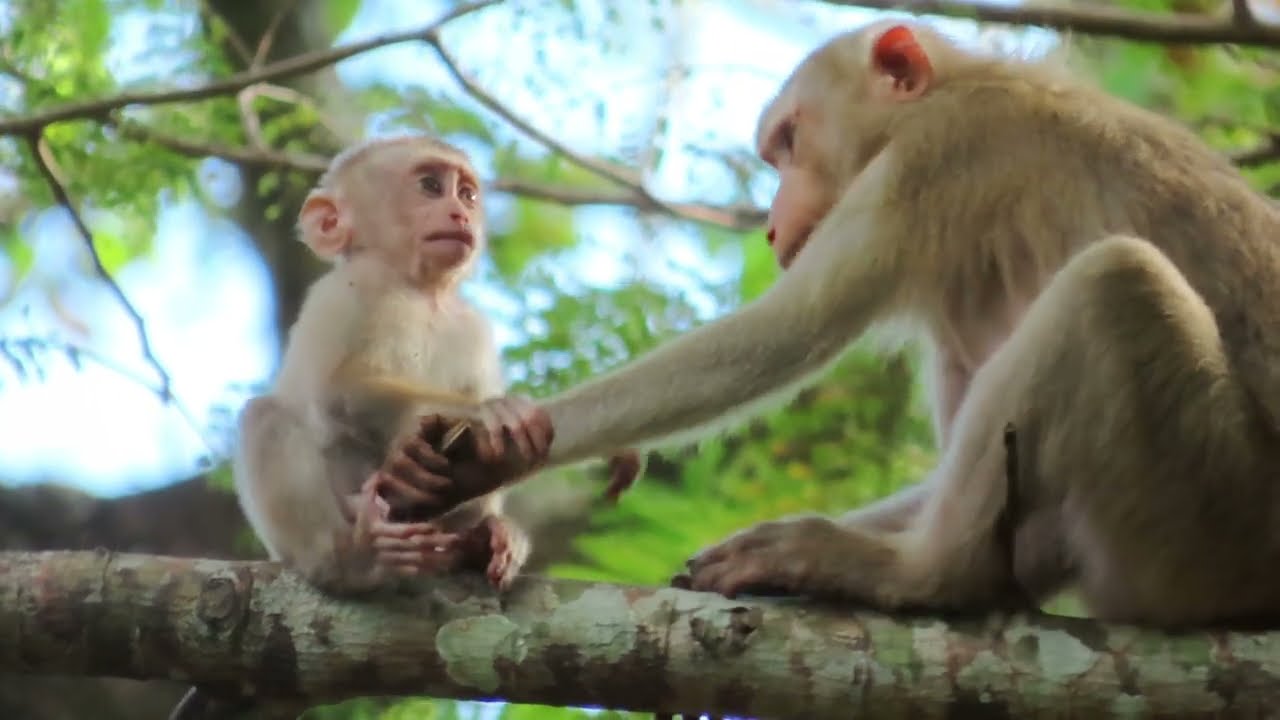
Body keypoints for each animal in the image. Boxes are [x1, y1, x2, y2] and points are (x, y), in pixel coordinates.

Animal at [388, 19, 1280, 630]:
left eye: (789, 141)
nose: (773, 223)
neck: (961, 83)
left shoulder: (932, 158)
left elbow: (789, 330)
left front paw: (489, 444)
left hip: (1211, 513)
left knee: (1113, 281)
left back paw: (929, 575)